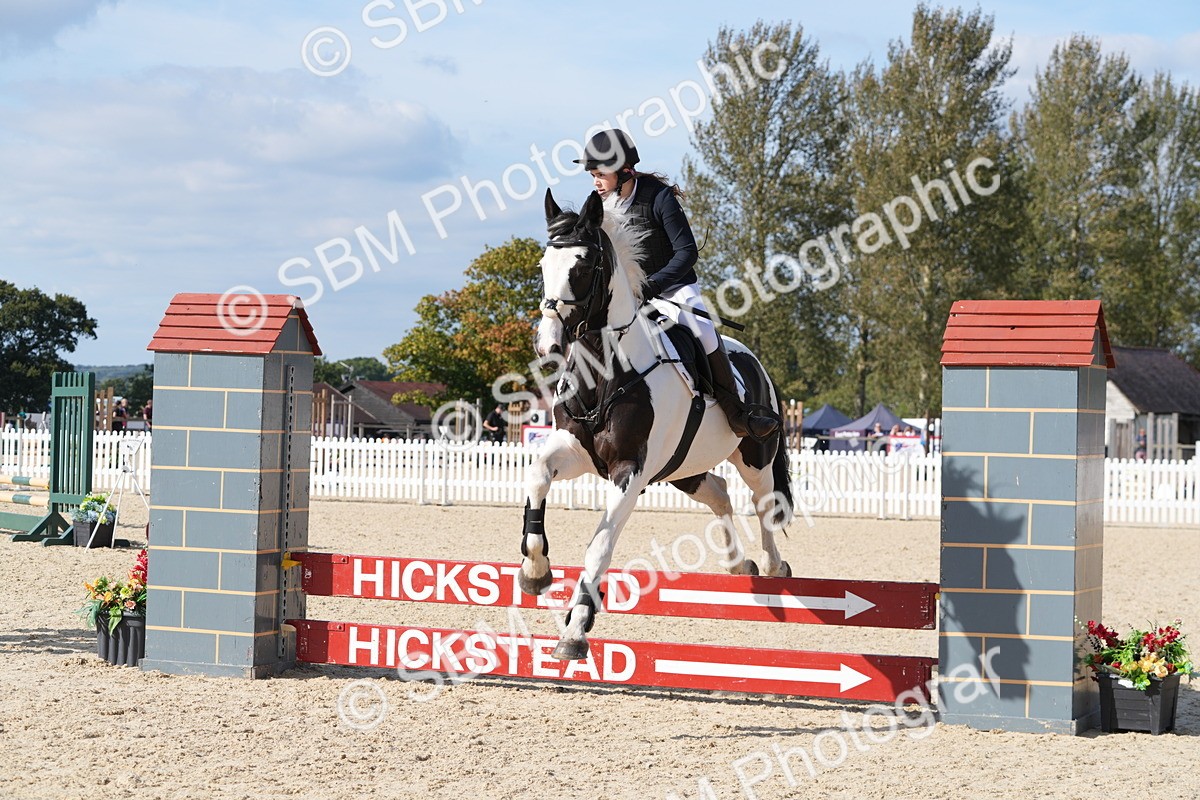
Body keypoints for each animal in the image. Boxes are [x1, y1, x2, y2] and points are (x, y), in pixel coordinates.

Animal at [518, 188, 795, 661]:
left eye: (583, 267)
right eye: (543, 266)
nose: (547, 344)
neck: (606, 371)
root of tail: (753, 359)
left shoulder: (630, 471)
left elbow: (600, 548)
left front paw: (574, 633)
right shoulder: (574, 451)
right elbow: (538, 477)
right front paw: (535, 570)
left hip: (755, 456)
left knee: (764, 503)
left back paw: (773, 565)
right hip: (682, 468)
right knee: (719, 492)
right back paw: (738, 563)